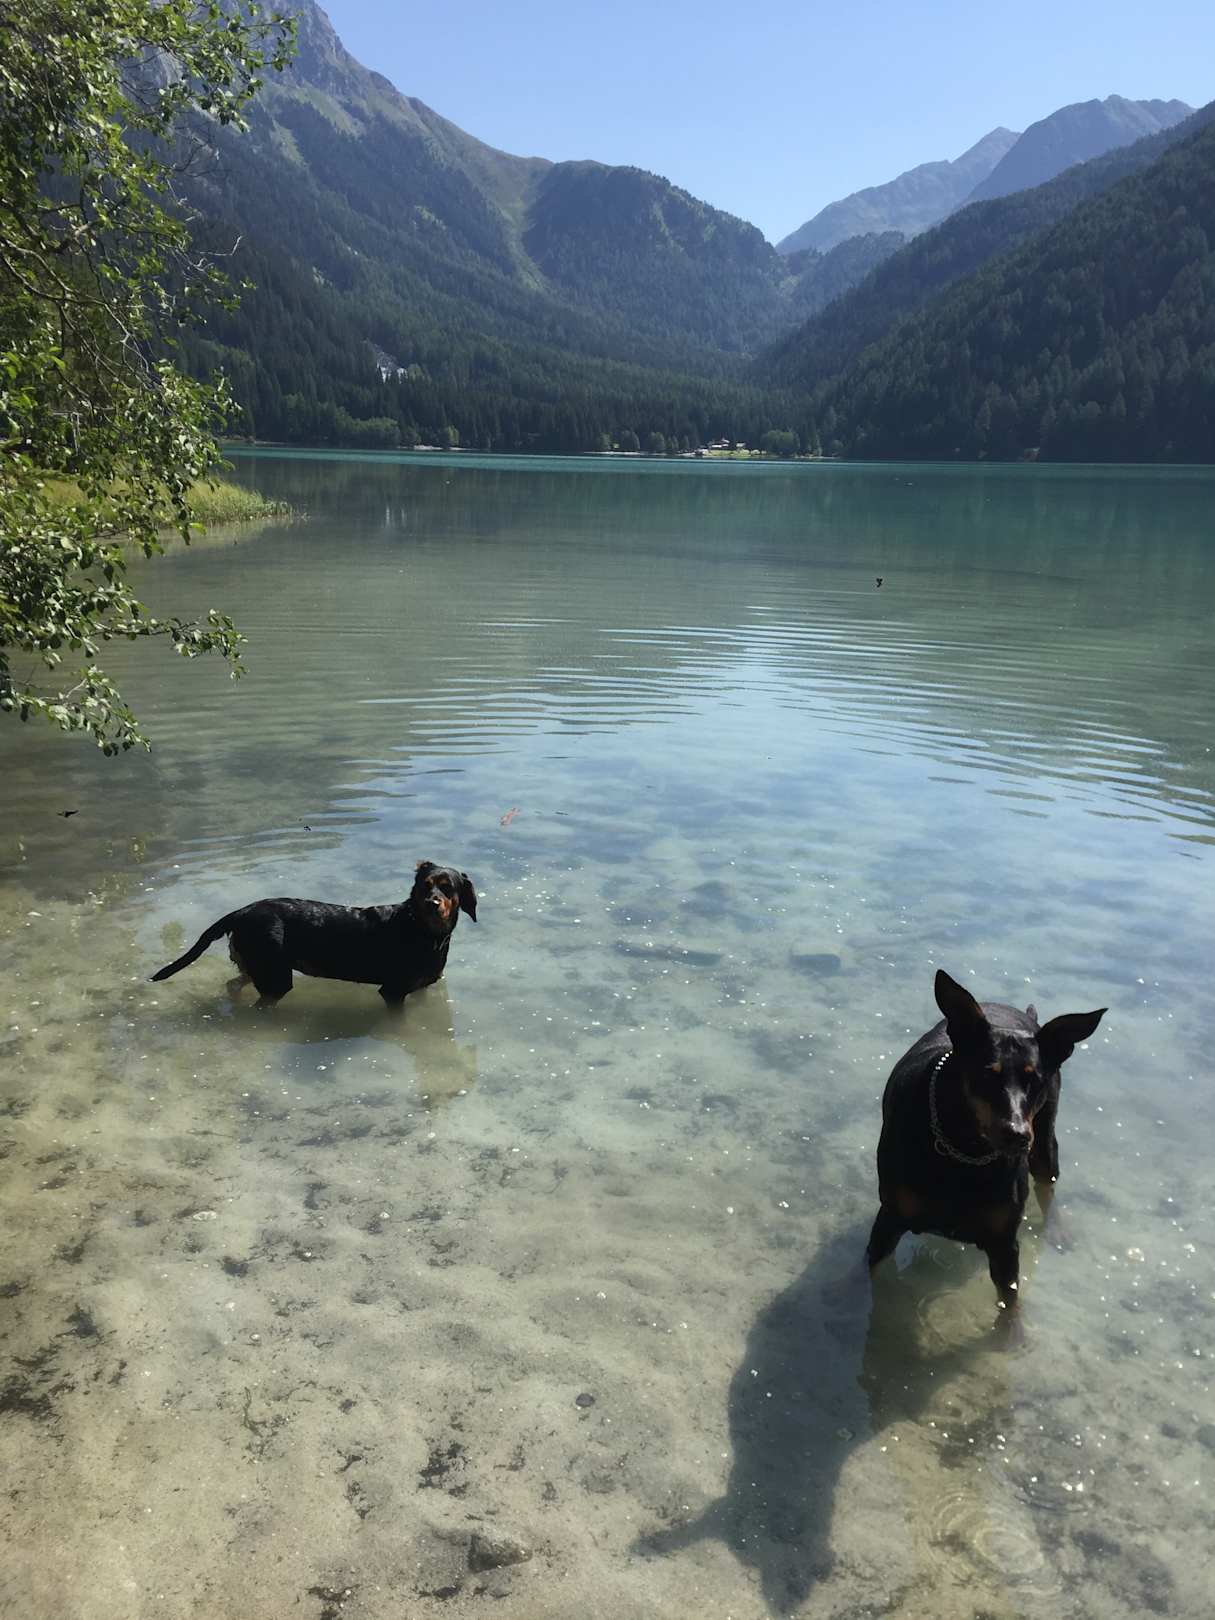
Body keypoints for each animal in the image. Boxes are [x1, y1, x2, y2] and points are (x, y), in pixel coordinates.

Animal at [151, 861, 477, 1007]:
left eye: (447, 888)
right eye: (425, 886)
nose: (432, 903)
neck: (425, 932)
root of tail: (242, 911)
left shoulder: (422, 988)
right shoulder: (393, 992)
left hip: (255, 966)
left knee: (233, 983)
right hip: (275, 977)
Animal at [866, 970, 1105, 1333]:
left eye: (1035, 1080)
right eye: (987, 1074)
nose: (1017, 1135)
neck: (964, 1151)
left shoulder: (1004, 1241)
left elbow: (1009, 1301)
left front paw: (1011, 1336)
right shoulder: (889, 1218)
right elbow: (878, 1279)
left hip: (1045, 1136)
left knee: (1047, 1179)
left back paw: (1057, 1229)